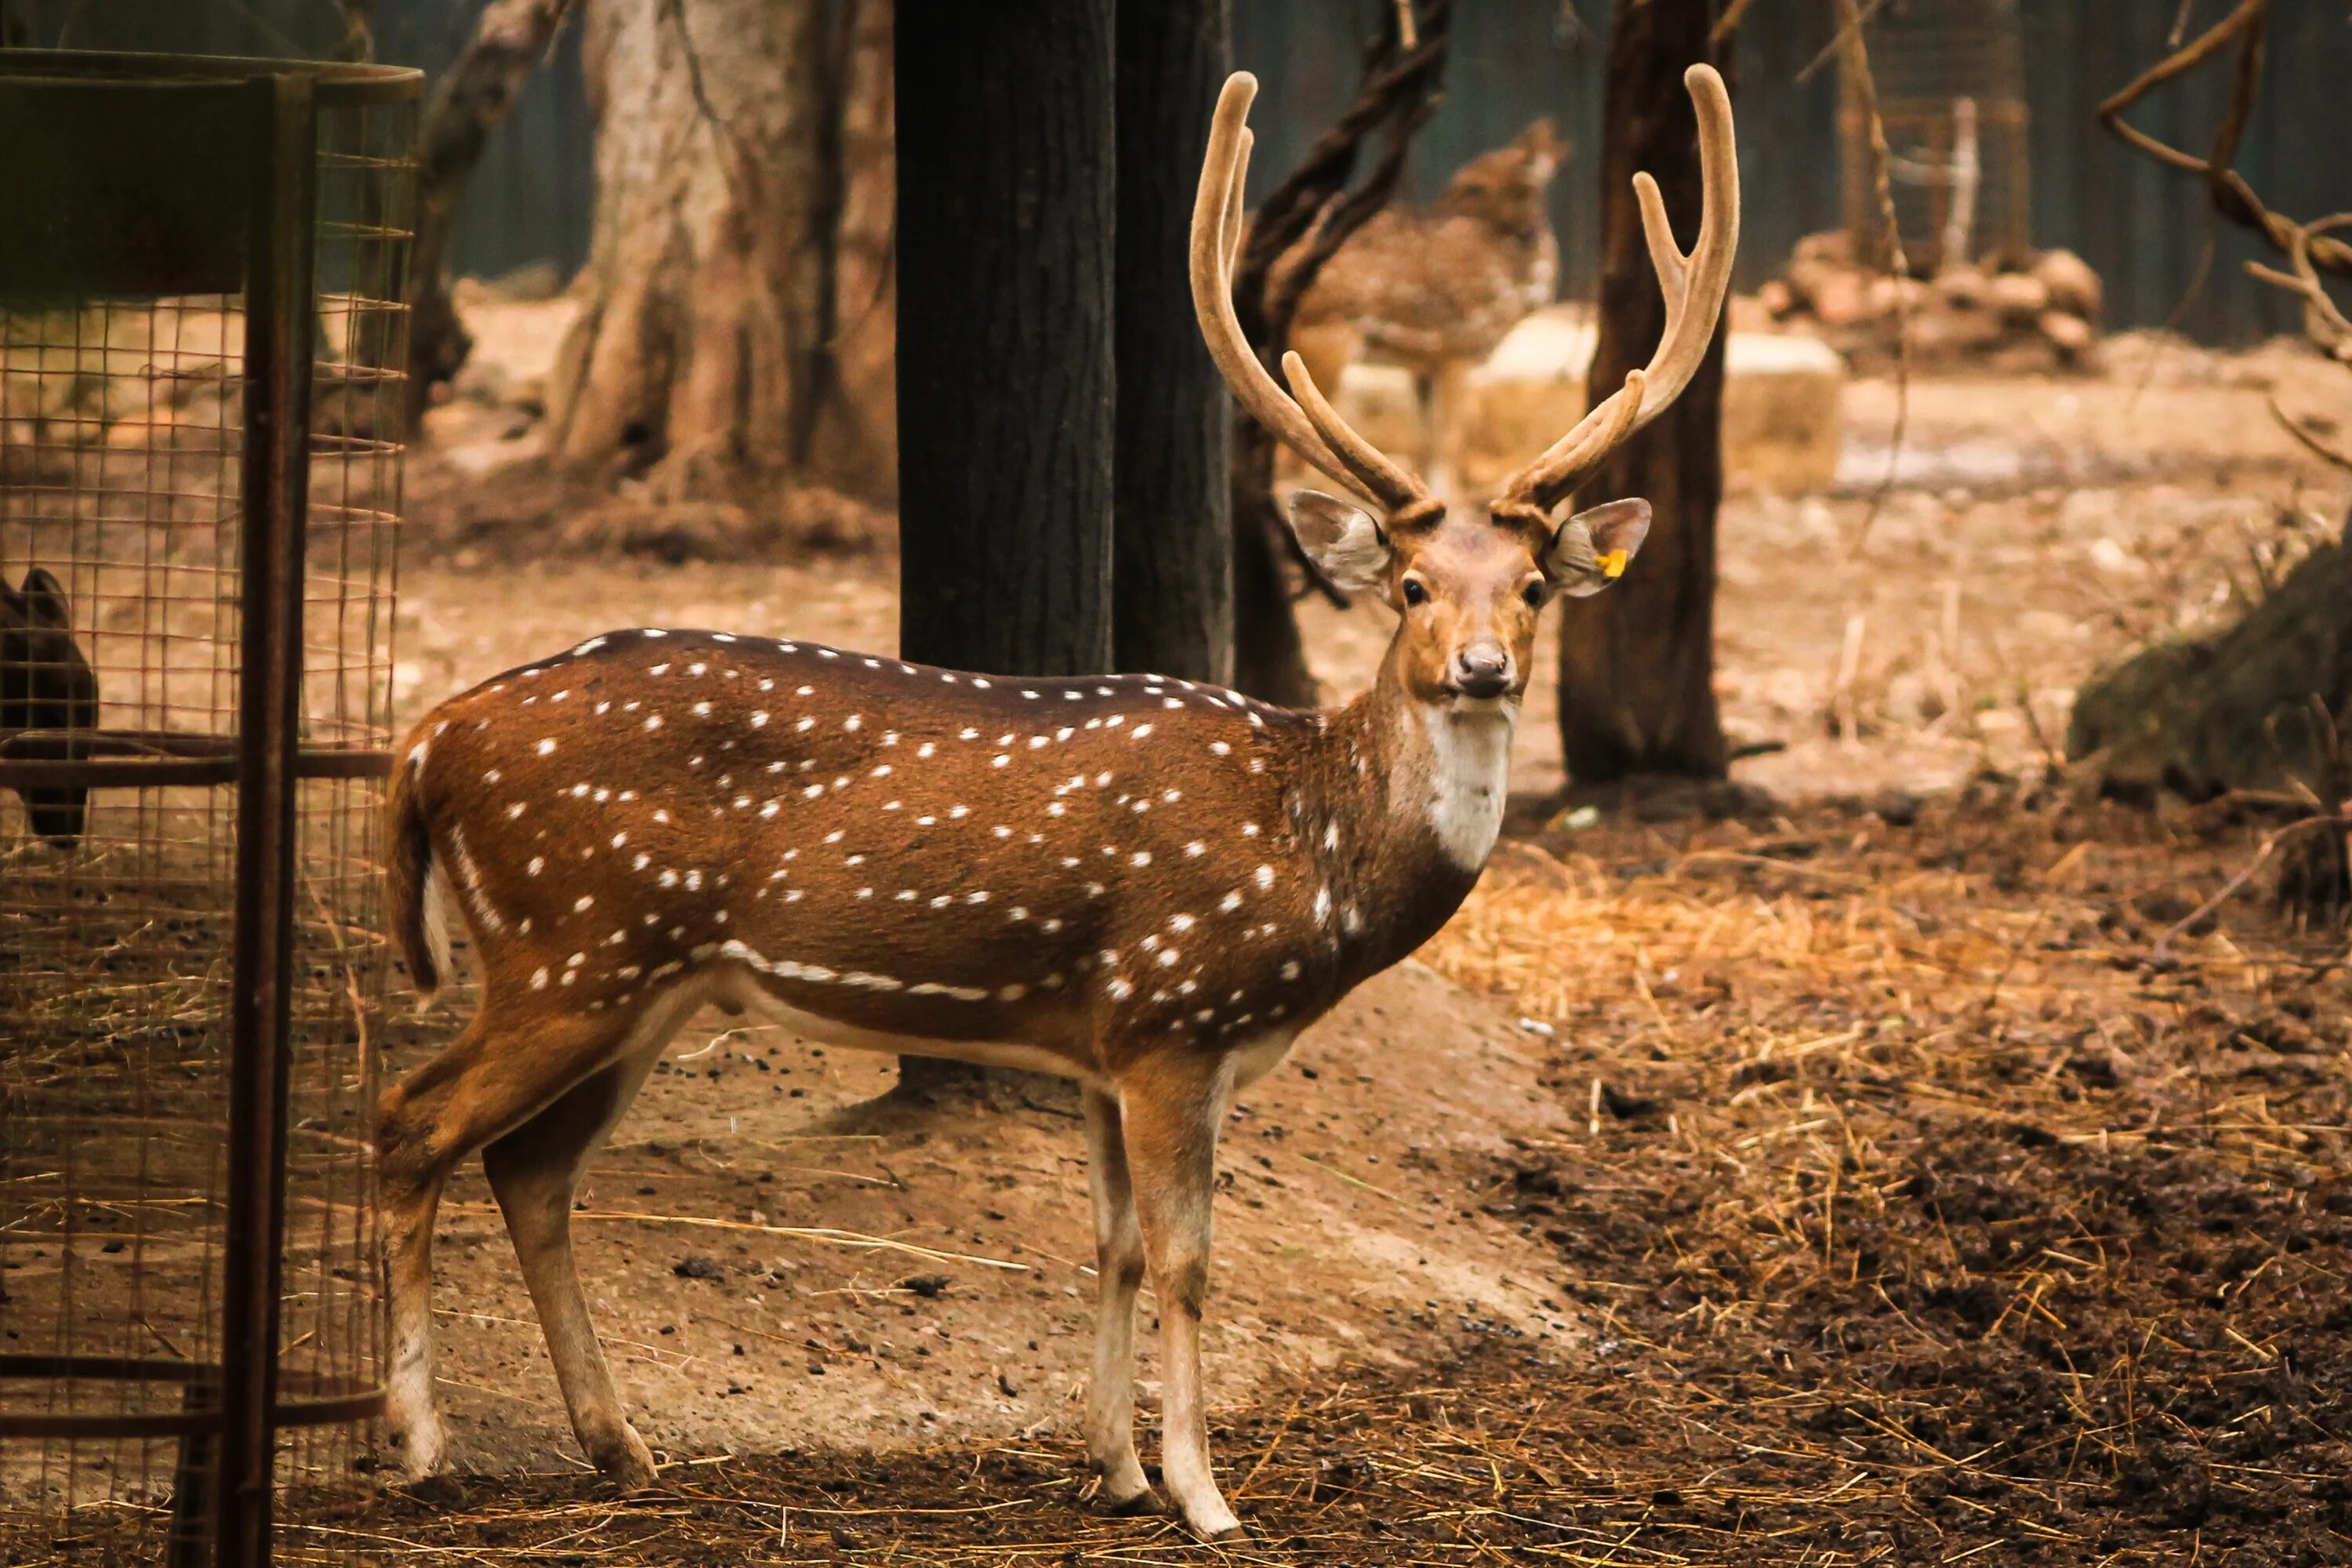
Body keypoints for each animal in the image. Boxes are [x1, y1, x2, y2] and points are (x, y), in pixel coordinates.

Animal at [1289, 115, 1562, 491]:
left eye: (1476, 186)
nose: (1437, 211)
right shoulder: (1458, 350)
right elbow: (1447, 446)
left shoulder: (1426, 363)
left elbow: (1428, 445)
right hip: (1323, 340)